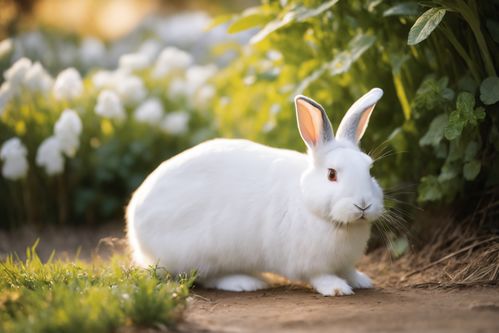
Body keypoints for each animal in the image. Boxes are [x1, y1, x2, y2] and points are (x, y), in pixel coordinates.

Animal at [127, 87, 384, 296]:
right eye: (331, 174)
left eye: (369, 168)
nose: (363, 204)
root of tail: (134, 217)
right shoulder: (309, 263)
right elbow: (321, 276)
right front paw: (337, 288)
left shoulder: (344, 262)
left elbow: (348, 270)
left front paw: (362, 281)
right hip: (201, 251)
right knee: (204, 276)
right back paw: (245, 282)